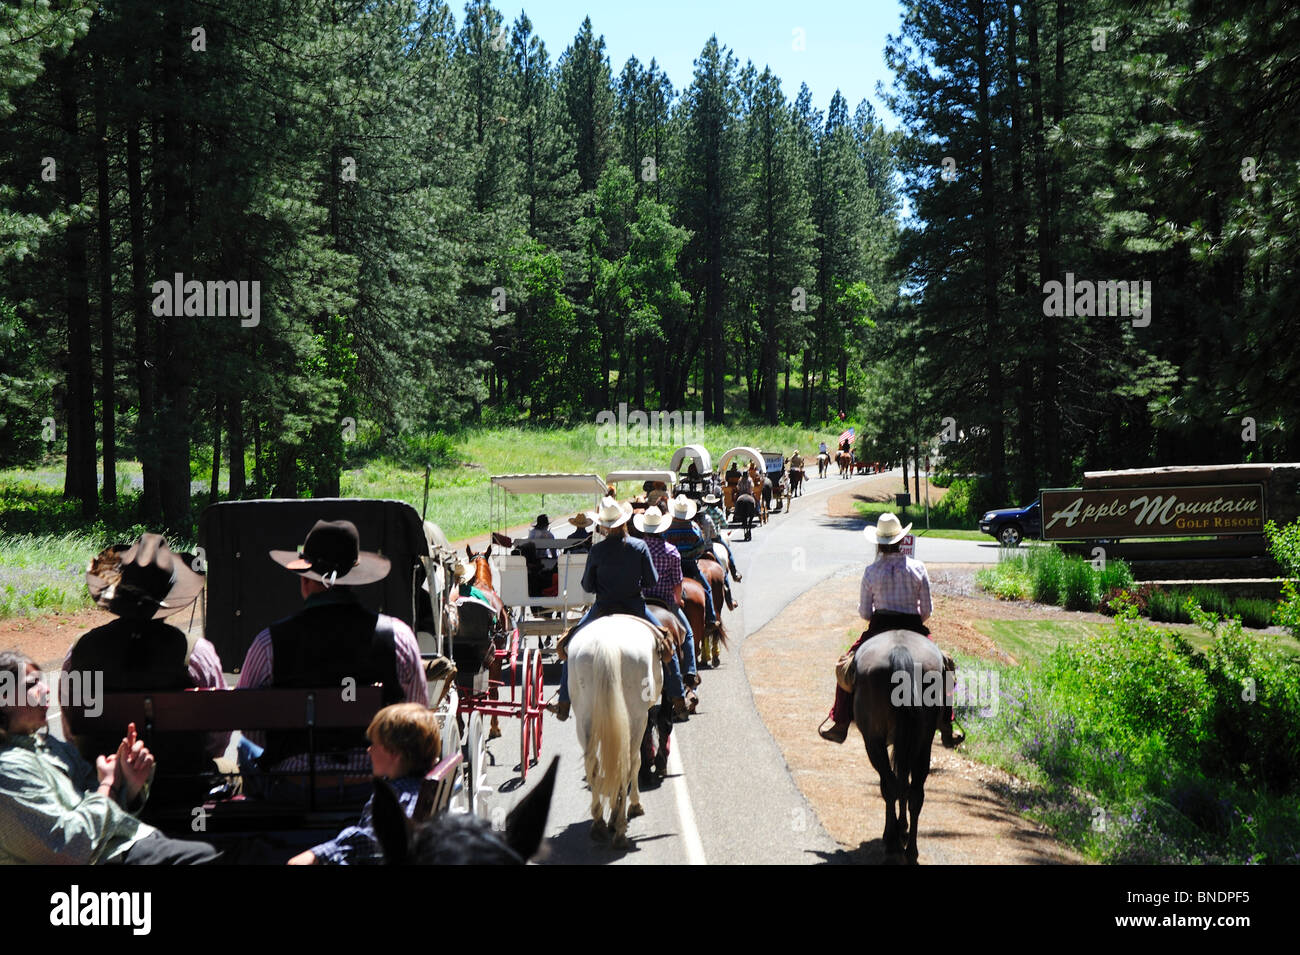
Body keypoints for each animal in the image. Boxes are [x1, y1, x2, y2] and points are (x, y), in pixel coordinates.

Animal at [569, 615, 665, 847]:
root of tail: (607, 645)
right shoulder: (641, 719)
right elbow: (637, 762)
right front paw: (632, 806)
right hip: (636, 718)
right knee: (627, 763)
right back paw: (619, 828)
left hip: (584, 720)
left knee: (593, 765)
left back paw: (599, 824)